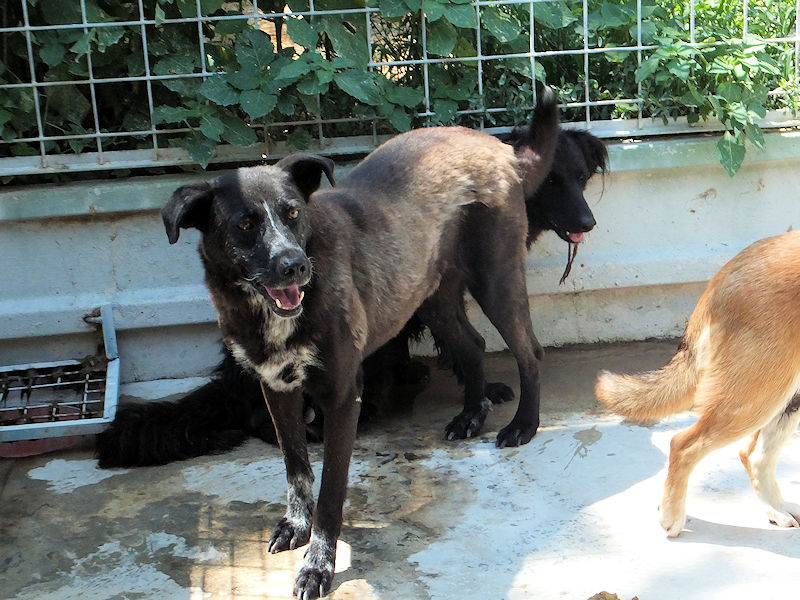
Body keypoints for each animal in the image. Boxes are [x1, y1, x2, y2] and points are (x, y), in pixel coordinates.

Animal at [160, 89, 561, 598]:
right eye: (244, 225)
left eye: (293, 212)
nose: (295, 266)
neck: (270, 312)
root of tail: (500, 148)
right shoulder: (276, 388)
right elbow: (295, 465)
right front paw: (297, 525)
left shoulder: (342, 395)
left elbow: (331, 488)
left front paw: (318, 565)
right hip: (429, 294)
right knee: (471, 344)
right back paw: (471, 414)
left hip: (496, 278)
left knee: (530, 350)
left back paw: (523, 425)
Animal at [596, 231, 800, 537]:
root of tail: (722, 278)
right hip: (757, 398)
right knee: (683, 444)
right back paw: (672, 516)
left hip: (782, 398)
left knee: (753, 455)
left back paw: (776, 509)